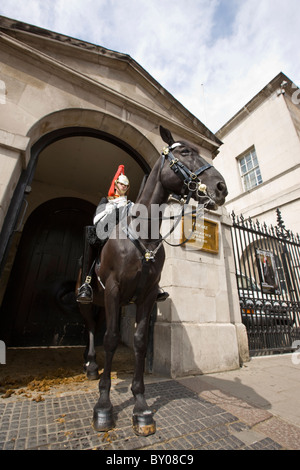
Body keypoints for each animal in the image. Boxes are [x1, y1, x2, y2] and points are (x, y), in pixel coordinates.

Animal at [75, 126, 227, 436]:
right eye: (185, 152)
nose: (220, 188)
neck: (143, 235)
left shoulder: (145, 296)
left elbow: (140, 341)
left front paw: (141, 406)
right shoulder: (114, 290)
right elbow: (111, 339)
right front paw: (104, 405)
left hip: (103, 303)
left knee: (94, 326)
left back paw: (92, 364)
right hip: (89, 300)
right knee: (93, 329)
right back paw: (92, 364)